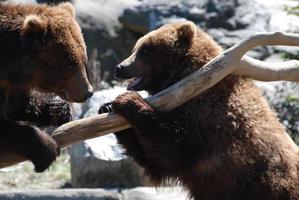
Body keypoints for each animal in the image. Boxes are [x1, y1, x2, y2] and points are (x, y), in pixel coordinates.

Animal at [0, 2, 94, 172]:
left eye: (84, 59)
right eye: (70, 64)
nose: (88, 92)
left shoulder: (15, 87)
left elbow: (21, 107)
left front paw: (58, 109)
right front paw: (47, 149)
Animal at [100, 21, 299, 200]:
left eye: (145, 50)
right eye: (135, 47)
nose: (119, 67)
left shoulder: (208, 123)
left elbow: (170, 146)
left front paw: (127, 100)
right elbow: (153, 158)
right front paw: (106, 107)